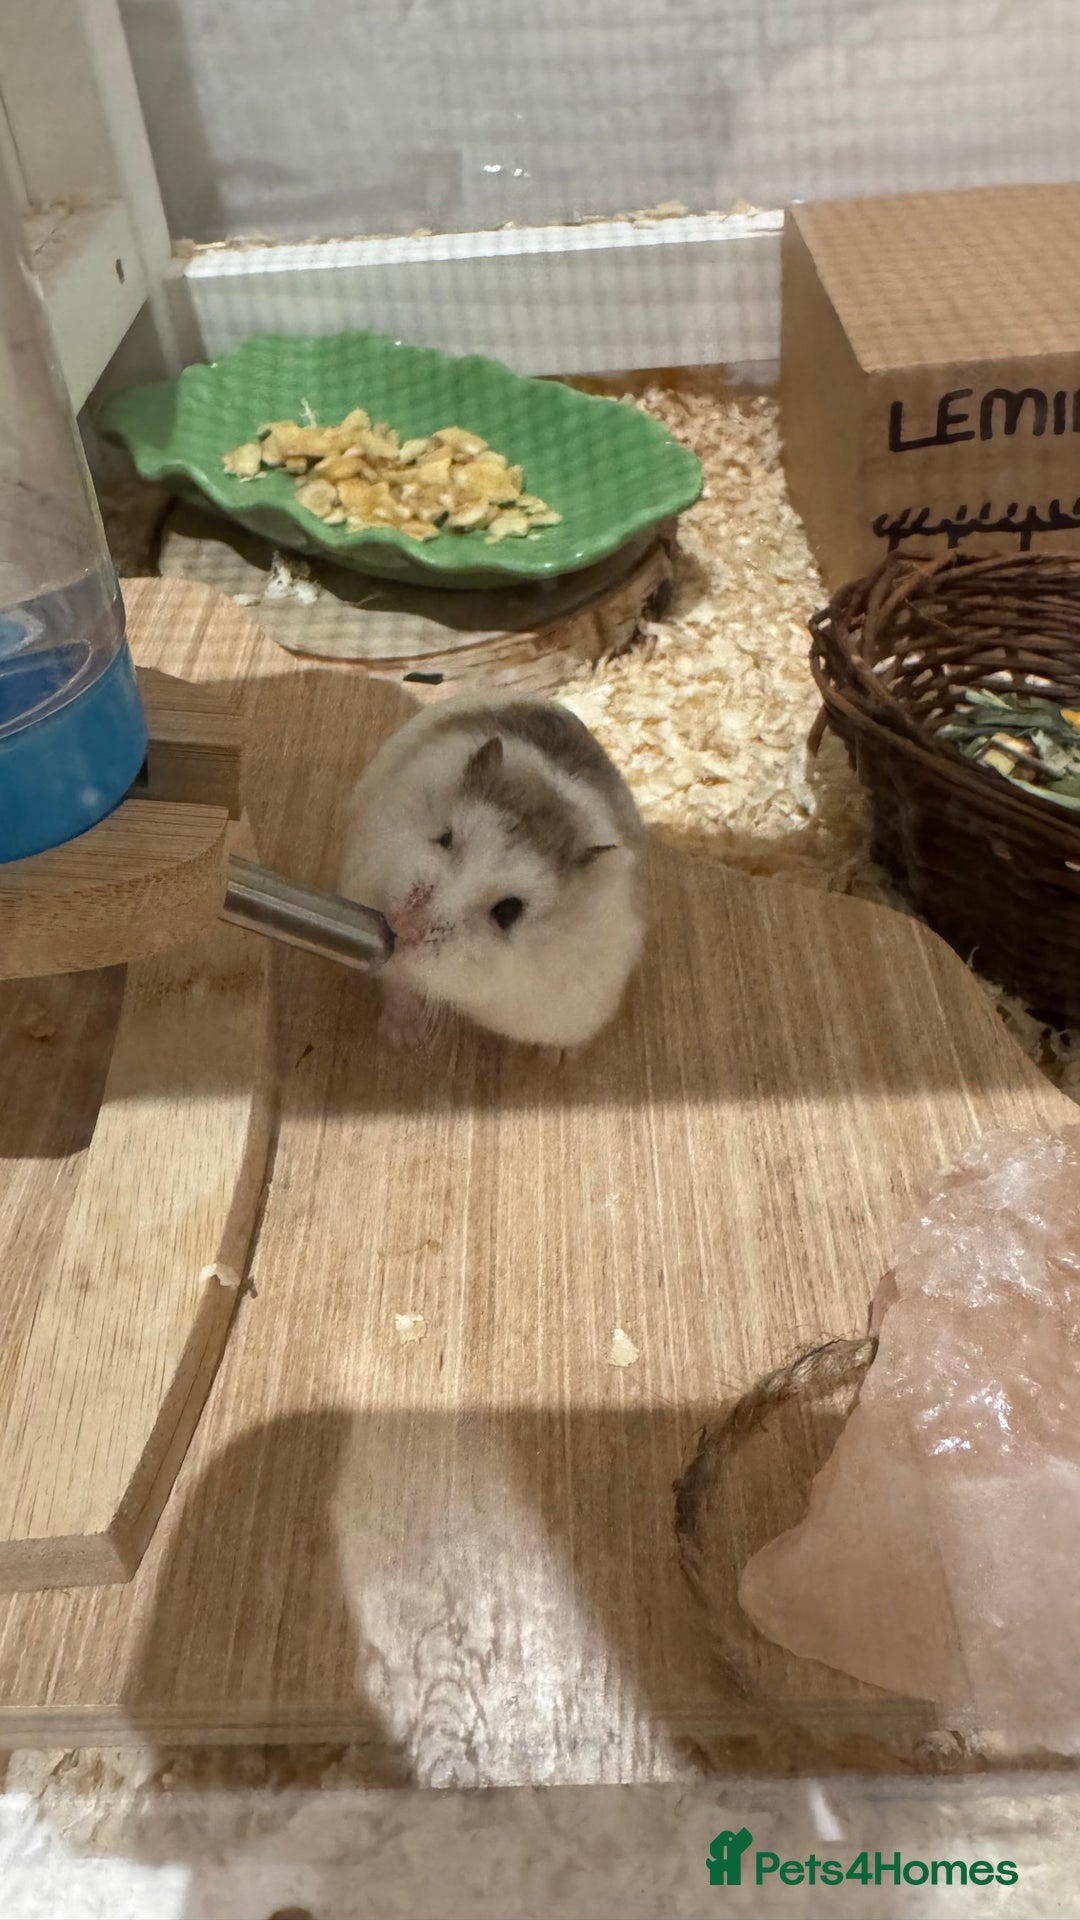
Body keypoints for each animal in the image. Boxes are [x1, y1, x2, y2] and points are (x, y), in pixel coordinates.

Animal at [338, 696, 645, 1051]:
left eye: (508, 911)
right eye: (445, 838)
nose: (402, 924)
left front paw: (558, 1057)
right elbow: (397, 983)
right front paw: (403, 1039)